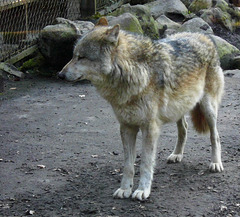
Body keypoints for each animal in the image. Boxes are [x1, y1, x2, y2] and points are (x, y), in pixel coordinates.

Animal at [58, 17, 225, 201]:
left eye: (81, 57)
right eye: (73, 56)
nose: (60, 75)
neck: (132, 72)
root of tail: (204, 36)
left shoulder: (149, 128)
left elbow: (145, 162)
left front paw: (142, 190)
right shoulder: (126, 127)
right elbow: (128, 165)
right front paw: (125, 189)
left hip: (208, 109)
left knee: (215, 136)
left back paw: (215, 163)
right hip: (179, 109)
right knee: (184, 129)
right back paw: (177, 155)